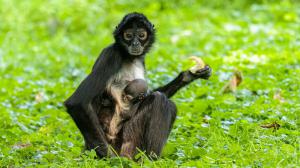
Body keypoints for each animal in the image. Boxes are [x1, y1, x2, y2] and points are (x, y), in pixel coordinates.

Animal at [64, 12, 212, 159]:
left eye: (141, 35)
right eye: (128, 35)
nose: (135, 43)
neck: (130, 57)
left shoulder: (141, 59)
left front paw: (188, 76)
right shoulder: (111, 55)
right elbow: (76, 102)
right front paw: (111, 160)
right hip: (127, 144)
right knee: (160, 100)